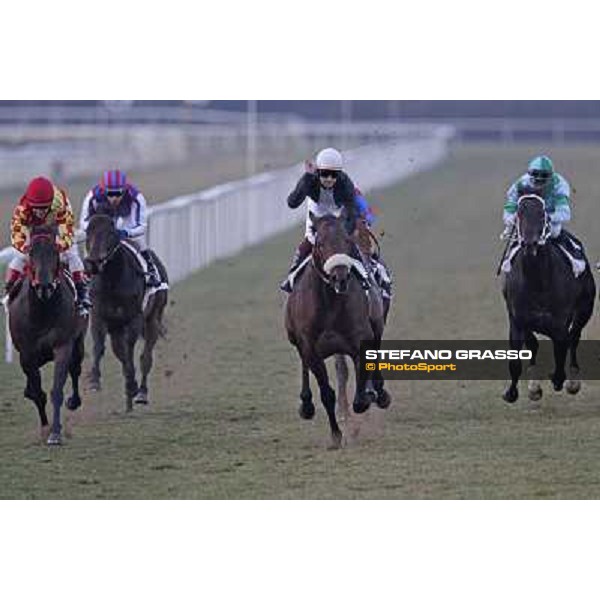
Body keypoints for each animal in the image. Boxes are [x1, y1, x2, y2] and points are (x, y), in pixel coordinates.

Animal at [7, 226, 88, 446]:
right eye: (32, 253)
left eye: (55, 252)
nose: (44, 287)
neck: (42, 311)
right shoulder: (27, 353)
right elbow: (37, 393)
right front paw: (45, 429)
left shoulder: (63, 346)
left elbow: (57, 389)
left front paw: (55, 433)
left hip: (78, 344)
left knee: (75, 369)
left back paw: (74, 401)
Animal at [284, 213, 392, 448]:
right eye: (320, 244)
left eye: (347, 242)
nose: (340, 278)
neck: (329, 303)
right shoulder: (311, 348)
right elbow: (327, 393)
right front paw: (336, 435)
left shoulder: (360, 340)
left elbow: (360, 395)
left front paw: (369, 395)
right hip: (297, 340)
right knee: (305, 364)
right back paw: (306, 405)